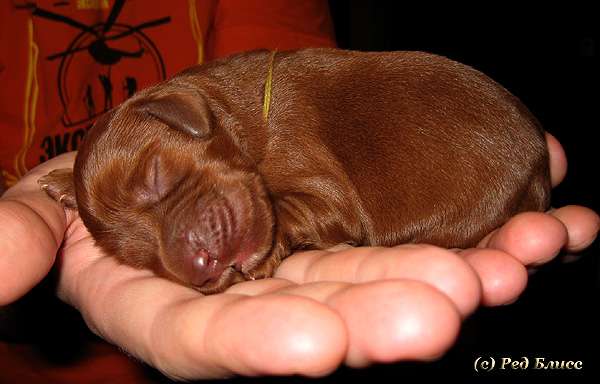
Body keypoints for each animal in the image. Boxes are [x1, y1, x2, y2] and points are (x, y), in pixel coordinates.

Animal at [39, 48, 552, 294]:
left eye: (155, 177)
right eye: (140, 257)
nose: (201, 268)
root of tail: (539, 165)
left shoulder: (319, 179)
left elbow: (291, 211)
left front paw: (266, 255)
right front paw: (60, 183)